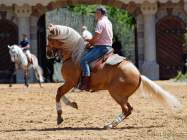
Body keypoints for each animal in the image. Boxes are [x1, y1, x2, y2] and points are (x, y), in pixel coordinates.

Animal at [47, 24, 181, 129]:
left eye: (49, 39)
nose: (48, 54)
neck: (73, 54)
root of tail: (138, 74)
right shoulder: (70, 83)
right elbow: (60, 93)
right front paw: (73, 104)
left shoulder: (70, 82)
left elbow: (58, 93)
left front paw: (60, 116)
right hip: (122, 96)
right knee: (129, 109)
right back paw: (111, 124)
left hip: (116, 94)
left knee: (126, 109)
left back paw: (110, 125)